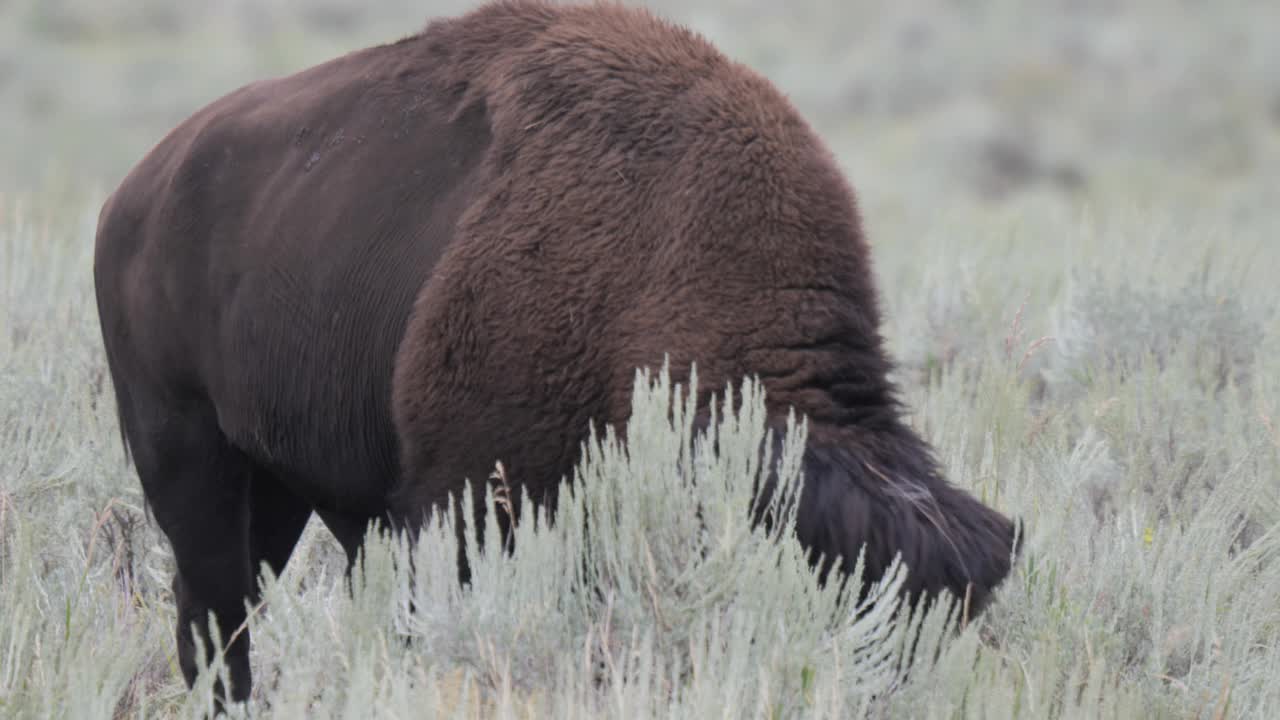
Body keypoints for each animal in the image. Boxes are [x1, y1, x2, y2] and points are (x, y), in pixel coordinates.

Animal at [92, 0, 1018, 702]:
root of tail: (132, 195)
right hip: (185, 455)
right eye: (853, 608)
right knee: (213, 612)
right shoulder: (463, 502)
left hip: (279, 485)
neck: (665, 243)